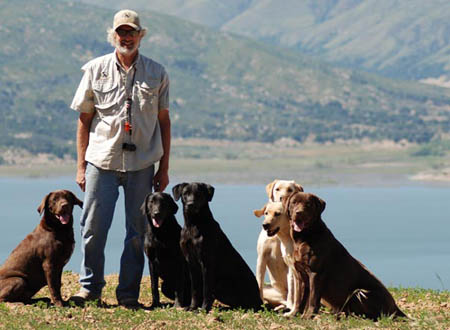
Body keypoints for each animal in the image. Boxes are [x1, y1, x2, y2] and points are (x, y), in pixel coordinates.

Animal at [284, 191, 408, 320]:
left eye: (308, 204)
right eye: (294, 203)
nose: (299, 212)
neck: (304, 238)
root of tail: (396, 307)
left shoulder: (315, 274)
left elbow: (313, 299)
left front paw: (308, 316)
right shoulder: (300, 275)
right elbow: (299, 298)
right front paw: (294, 314)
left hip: (360, 292)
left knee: (374, 315)